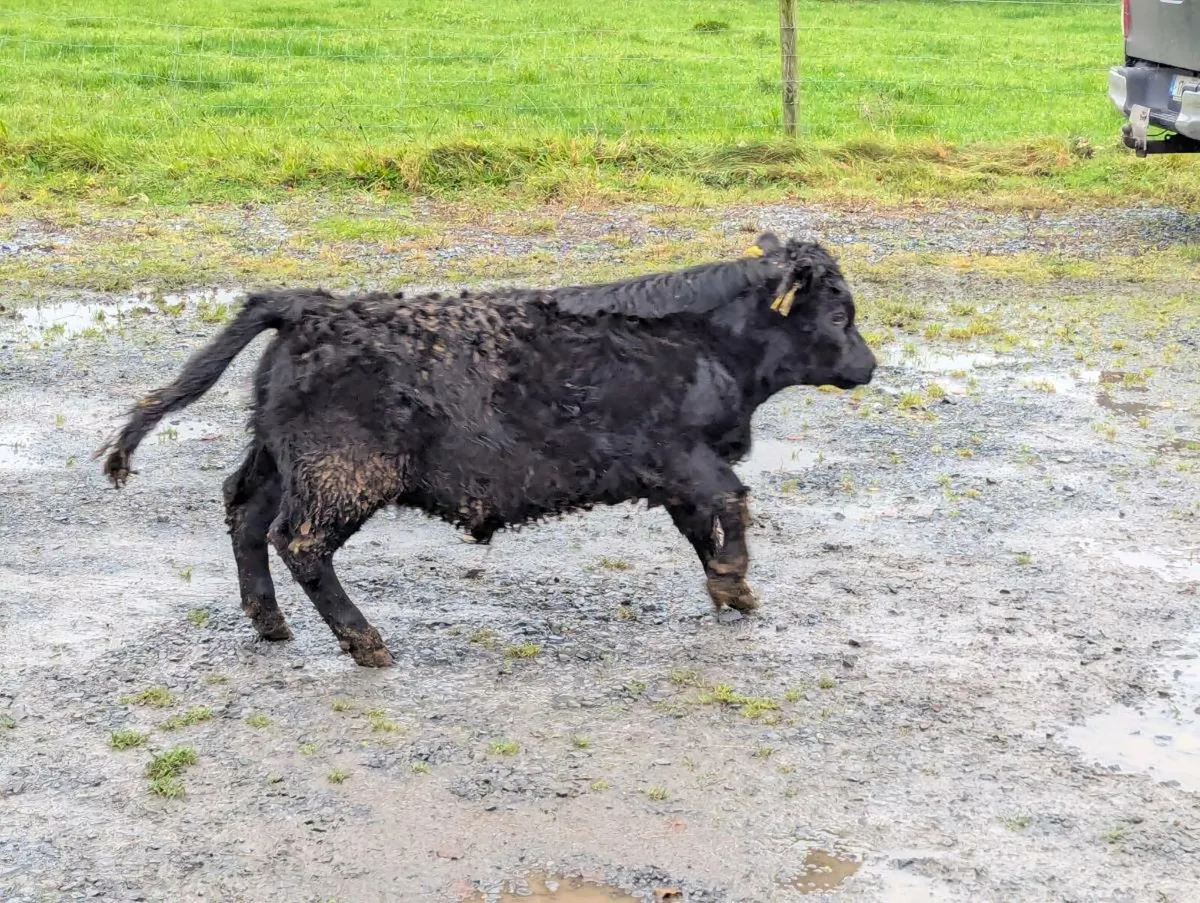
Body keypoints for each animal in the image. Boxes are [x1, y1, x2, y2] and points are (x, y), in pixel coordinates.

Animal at [96, 232, 876, 667]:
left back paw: (270, 623)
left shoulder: (678, 474)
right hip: (343, 474)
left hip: (277, 458)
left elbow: (701, 526)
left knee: (245, 516)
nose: (869, 366)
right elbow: (733, 503)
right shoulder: (686, 457)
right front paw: (736, 583)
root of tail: (310, 305)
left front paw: (725, 587)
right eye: (840, 312)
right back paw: (364, 641)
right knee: (301, 542)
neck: (706, 342)